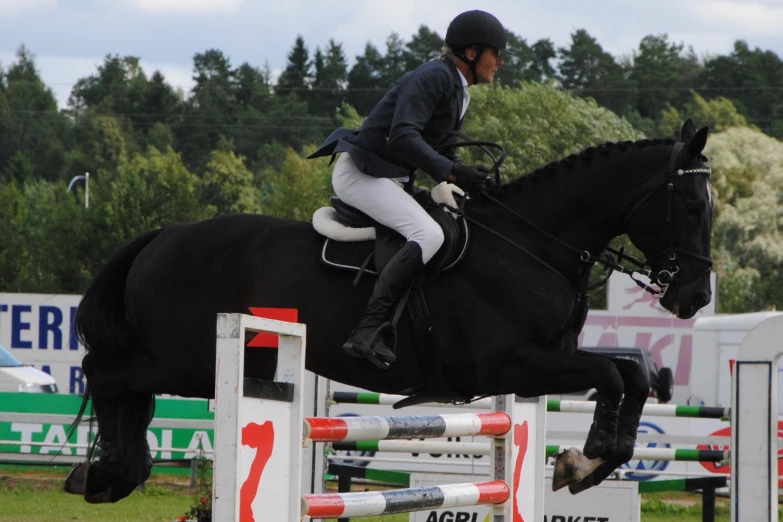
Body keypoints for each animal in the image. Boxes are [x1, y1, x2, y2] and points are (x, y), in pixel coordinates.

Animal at [67, 120, 712, 502]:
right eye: (688, 203)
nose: (695, 298)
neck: (531, 243)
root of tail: (163, 235)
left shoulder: (546, 361)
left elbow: (630, 370)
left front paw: (589, 460)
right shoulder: (509, 365)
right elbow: (612, 374)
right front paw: (587, 459)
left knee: (128, 391)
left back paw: (114, 472)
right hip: (186, 359)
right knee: (109, 374)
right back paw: (109, 471)